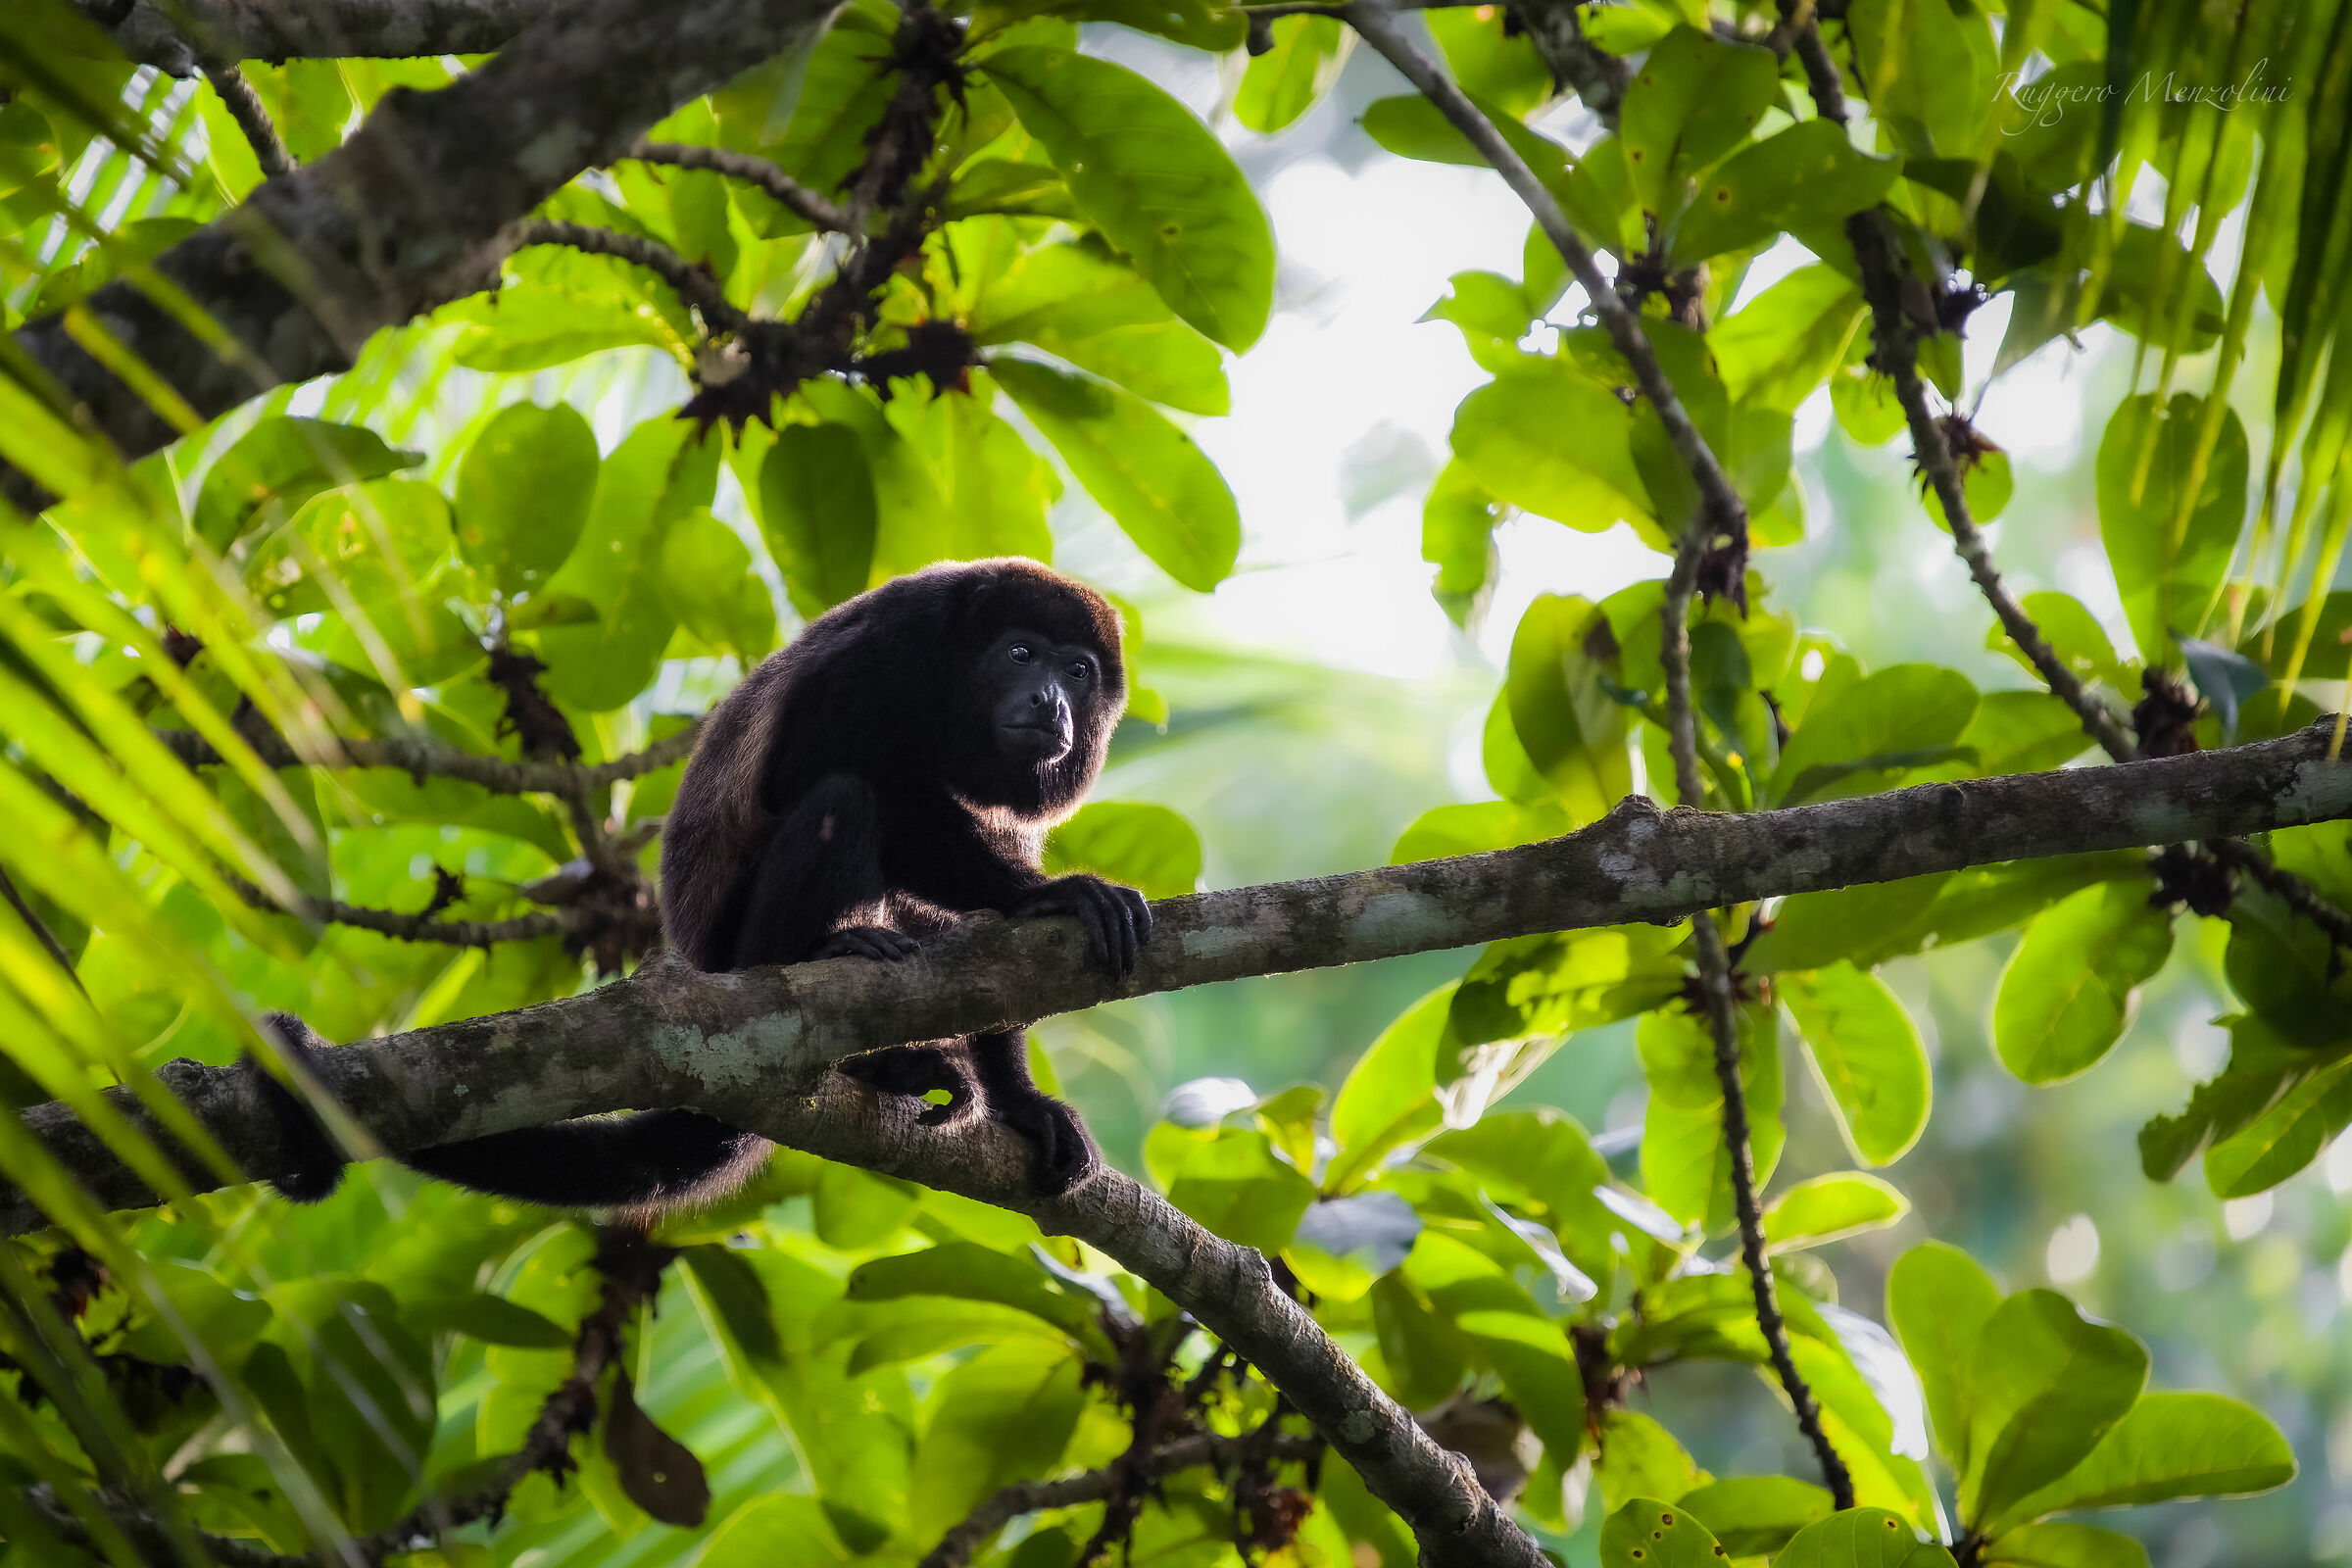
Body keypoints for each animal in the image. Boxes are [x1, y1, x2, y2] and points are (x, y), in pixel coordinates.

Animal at [252, 558, 1149, 1211]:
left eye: (1078, 671)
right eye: (1021, 654)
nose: (1052, 702)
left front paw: (1022, 1101)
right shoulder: (896, 649)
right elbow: (821, 768)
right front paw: (1050, 895)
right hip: (736, 956)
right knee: (845, 798)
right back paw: (829, 972)